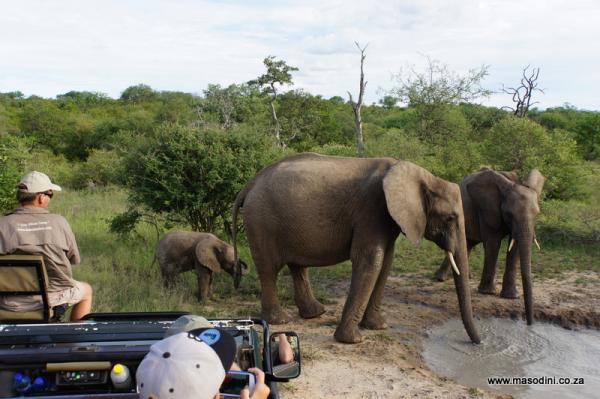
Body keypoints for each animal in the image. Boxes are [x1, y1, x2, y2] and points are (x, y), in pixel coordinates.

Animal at [232, 152, 480, 346]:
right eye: (450, 218)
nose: (478, 343)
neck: (423, 176)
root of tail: (250, 184)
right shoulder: (372, 208)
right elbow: (371, 260)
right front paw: (352, 340)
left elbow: (386, 262)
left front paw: (378, 327)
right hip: (261, 220)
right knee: (269, 269)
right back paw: (281, 320)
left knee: (297, 266)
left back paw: (315, 313)